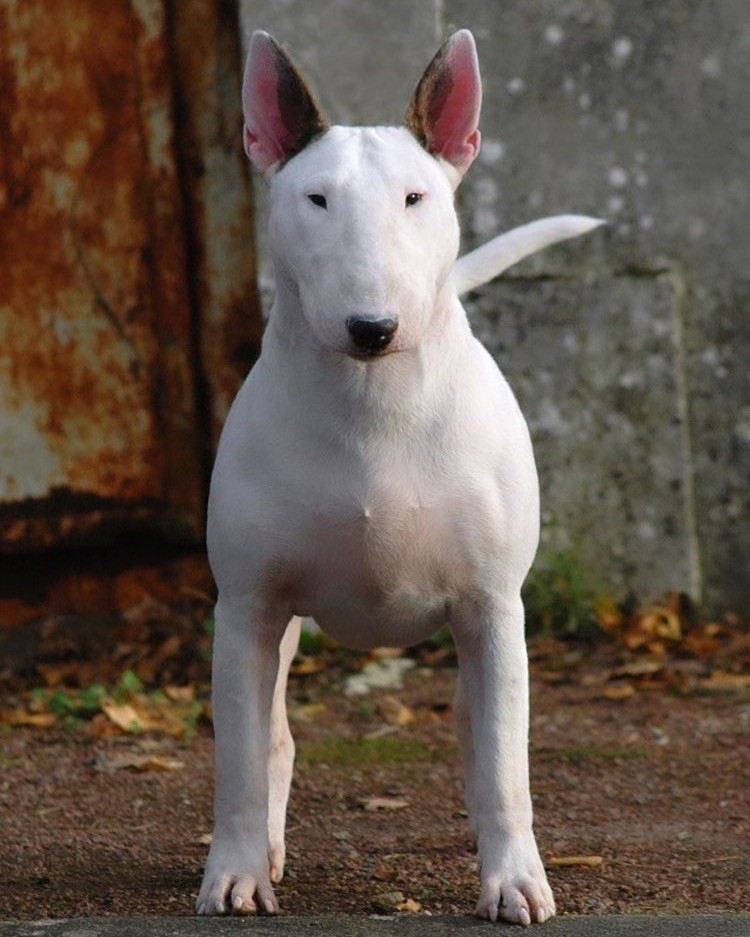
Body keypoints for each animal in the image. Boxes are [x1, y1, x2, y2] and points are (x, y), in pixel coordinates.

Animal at [197, 28, 601, 925]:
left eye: (416, 197)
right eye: (315, 199)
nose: (372, 327)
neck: (372, 403)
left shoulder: (492, 605)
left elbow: (504, 766)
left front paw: (514, 880)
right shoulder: (246, 605)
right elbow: (238, 759)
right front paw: (235, 873)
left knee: (480, 734)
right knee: (273, 738)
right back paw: (263, 851)